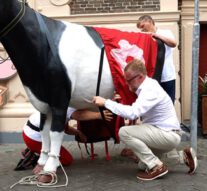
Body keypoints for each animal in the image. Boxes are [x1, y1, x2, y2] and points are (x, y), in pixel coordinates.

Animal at [0, 0, 165, 182]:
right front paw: (41, 164)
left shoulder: (59, 99)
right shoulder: (43, 101)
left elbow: (54, 133)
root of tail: (154, 37)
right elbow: (44, 132)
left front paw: (49, 169)